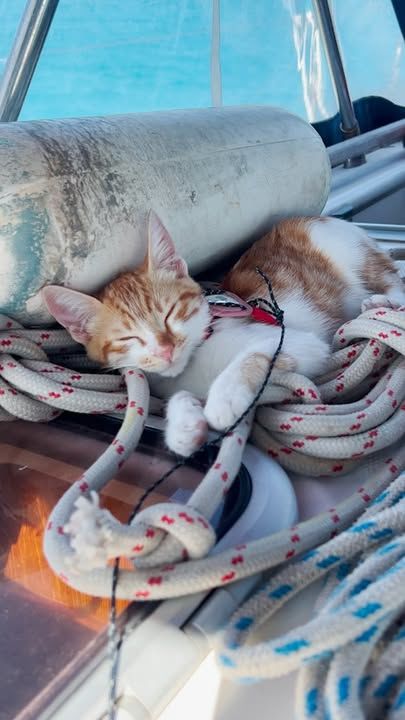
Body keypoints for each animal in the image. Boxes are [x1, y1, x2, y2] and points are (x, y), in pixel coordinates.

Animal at [41, 211, 404, 456]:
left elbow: (250, 355)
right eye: (129, 339)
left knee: (394, 284)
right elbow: (178, 395)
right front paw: (183, 424)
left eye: (170, 313)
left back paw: (381, 301)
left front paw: (224, 398)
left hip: (356, 260)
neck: (198, 355)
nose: (165, 350)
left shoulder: (297, 340)